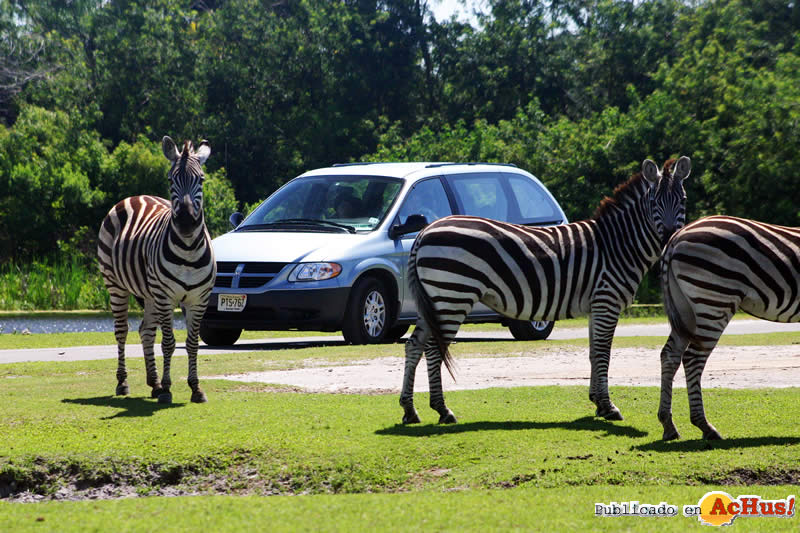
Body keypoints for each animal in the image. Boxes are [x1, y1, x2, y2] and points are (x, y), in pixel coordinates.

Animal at [96, 136, 216, 404]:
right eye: (171, 180)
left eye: (201, 179)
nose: (186, 223)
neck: (189, 250)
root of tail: (135, 196)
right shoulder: (166, 296)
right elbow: (169, 343)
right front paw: (169, 389)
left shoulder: (198, 299)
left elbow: (192, 343)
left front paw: (195, 388)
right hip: (116, 285)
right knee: (122, 331)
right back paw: (124, 383)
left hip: (149, 293)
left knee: (146, 332)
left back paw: (154, 383)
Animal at [404, 155, 692, 424]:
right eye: (654, 202)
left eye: (683, 200)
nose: (668, 237)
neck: (618, 245)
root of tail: (425, 231)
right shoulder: (607, 301)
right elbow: (603, 353)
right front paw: (609, 407)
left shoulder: (596, 306)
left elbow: (593, 352)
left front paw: (597, 402)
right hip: (451, 296)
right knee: (433, 348)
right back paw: (442, 410)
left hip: (433, 300)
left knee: (414, 344)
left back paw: (410, 410)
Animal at [656, 214, 800, 438]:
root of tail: (676, 237)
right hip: (714, 300)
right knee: (693, 358)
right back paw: (705, 426)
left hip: (685, 309)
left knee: (670, 355)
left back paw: (669, 425)